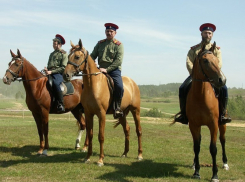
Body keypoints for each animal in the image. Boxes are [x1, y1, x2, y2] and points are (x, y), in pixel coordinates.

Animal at [173, 42, 229, 181]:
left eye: (216, 60)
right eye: (205, 61)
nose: (222, 80)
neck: (201, 96)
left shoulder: (214, 124)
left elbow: (213, 148)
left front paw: (215, 175)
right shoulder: (194, 125)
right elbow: (196, 147)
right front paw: (197, 172)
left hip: (223, 124)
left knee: (223, 140)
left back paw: (225, 164)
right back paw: (194, 164)